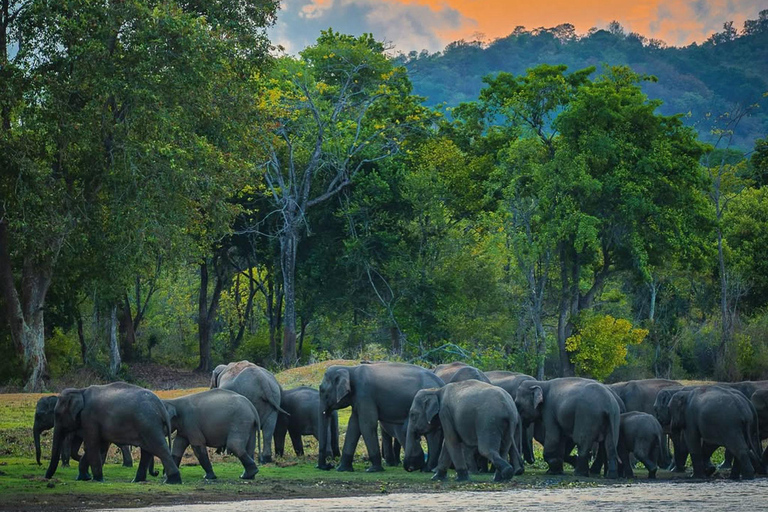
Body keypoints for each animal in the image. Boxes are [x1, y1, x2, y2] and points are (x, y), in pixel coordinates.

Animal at [44, 382, 180, 484]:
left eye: (57, 415)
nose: (47, 477)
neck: (80, 391)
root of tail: (161, 407)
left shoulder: (89, 418)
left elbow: (92, 445)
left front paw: (97, 480)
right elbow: (100, 447)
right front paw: (84, 478)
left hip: (148, 423)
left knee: (159, 448)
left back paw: (172, 481)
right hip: (148, 425)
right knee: (147, 451)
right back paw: (137, 481)